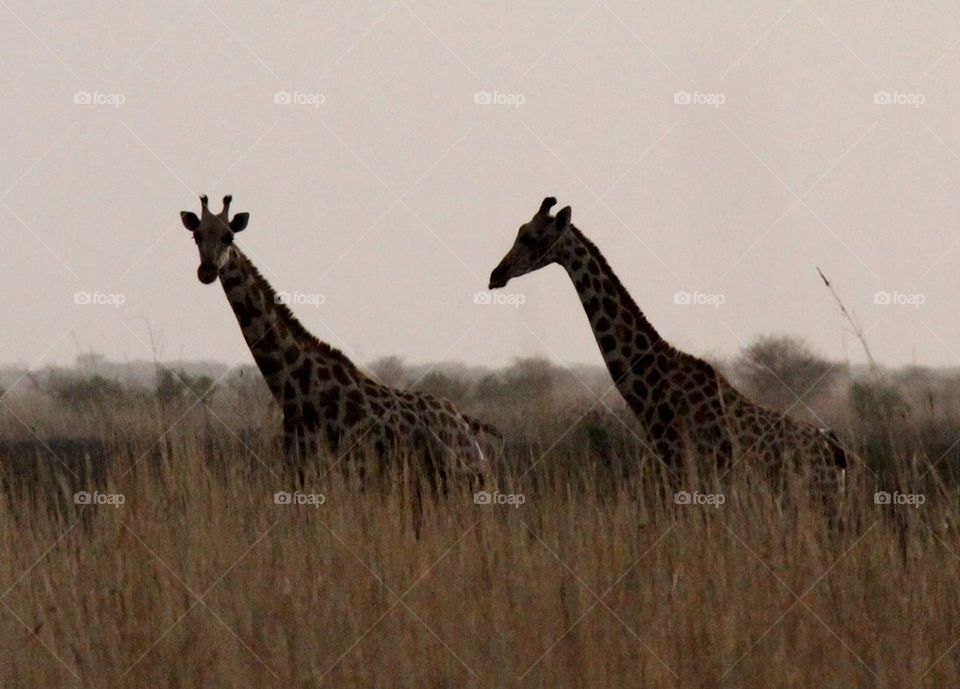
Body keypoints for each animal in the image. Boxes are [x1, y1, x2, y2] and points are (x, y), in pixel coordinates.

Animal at [180, 194, 499, 490]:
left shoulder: (336, 473)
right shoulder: (297, 468)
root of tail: (466, 423)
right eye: (197, 236)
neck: (295, 391)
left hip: (465, 477)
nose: (207, 270)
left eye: (229, 237)